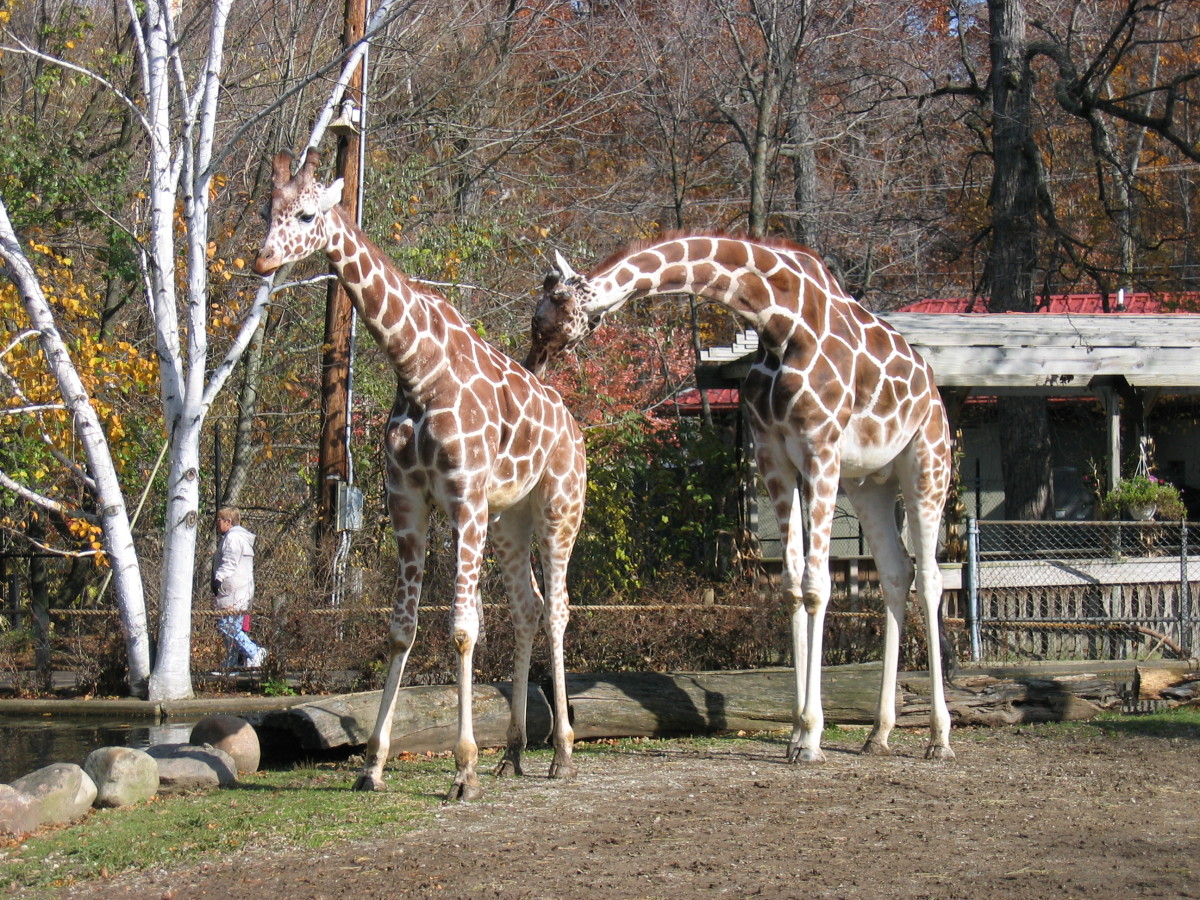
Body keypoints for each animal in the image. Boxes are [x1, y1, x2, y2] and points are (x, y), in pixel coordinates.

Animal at [254, 149, 587, 800]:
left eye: (306, 214)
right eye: (267, 209)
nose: (262, 259)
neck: (415, 365)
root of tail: (573, 425)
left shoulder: (463, 499)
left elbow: (461, 628)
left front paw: (464, 769)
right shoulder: (406, 501)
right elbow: (401, 630)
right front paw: (373, 764)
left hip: (559, 510)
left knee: (558, 609)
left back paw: (561, 753)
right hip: (509, 520)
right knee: (528, 606)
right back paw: (514, 753)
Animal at [525, 234, 954, 763]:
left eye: (544, 314)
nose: (532, 365)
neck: (779, 321)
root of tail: (932, 385)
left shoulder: (821, 449)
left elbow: (818, 586)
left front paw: (813, 738)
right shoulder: (774, 454)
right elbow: (790, 586)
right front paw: (796, 733)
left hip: (927, 463)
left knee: (930, 578)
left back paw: (939, 737)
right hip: (870, 481)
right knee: (896, 573)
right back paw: (880, 733)